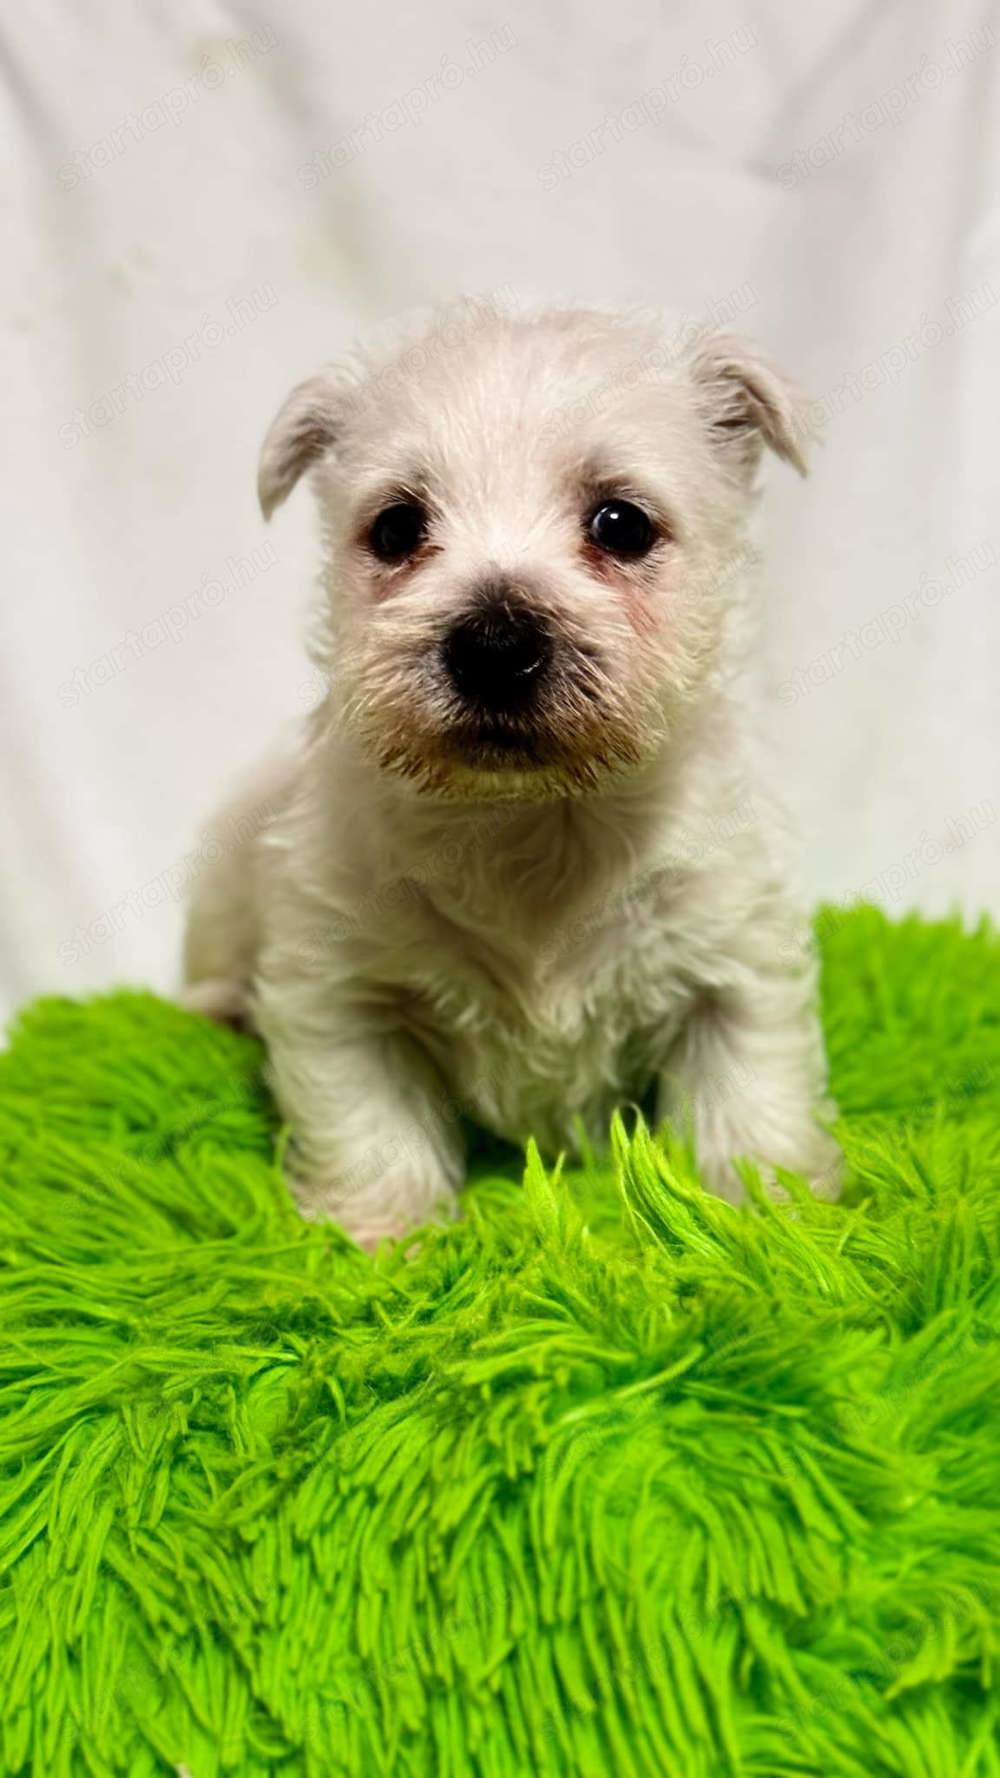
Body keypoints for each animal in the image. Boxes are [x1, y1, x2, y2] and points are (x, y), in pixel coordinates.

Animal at [183, 298, 836, 1244]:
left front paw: (770, 1226)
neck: (531, 820)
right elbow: (373, 1133)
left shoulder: (733, 967)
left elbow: (750, 1108)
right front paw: (381, 1241)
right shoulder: (340, 994)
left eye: (621, 523)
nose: (493, 646)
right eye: (396, 528)